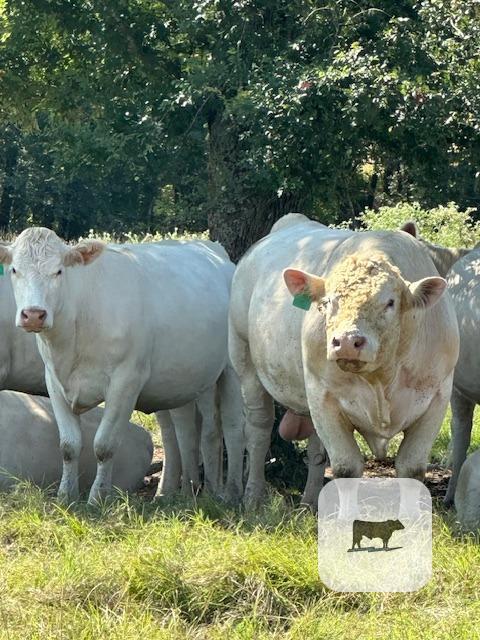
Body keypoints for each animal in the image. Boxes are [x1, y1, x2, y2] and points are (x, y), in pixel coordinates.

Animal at [229, 213, 459, 505]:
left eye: (390, 302)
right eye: (328, 301)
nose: (347, 341)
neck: (382, 379)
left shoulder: (438, 396)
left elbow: (412, 468)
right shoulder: (324, 395)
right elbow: (346, 468)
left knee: (315, 449)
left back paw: (311, 500)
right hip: (244, 360)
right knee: (258, 428)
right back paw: (253, 495)